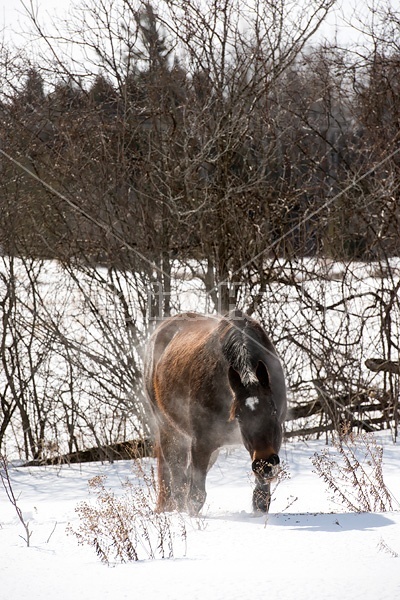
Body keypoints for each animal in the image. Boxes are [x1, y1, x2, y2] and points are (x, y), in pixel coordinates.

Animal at [145, 310, 288, 516]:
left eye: (274, 410)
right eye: (238, 416)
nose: (264, 463)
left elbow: (261, 499)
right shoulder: (201, 443)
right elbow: (195, 497)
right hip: (169, 431)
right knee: (177, 479)